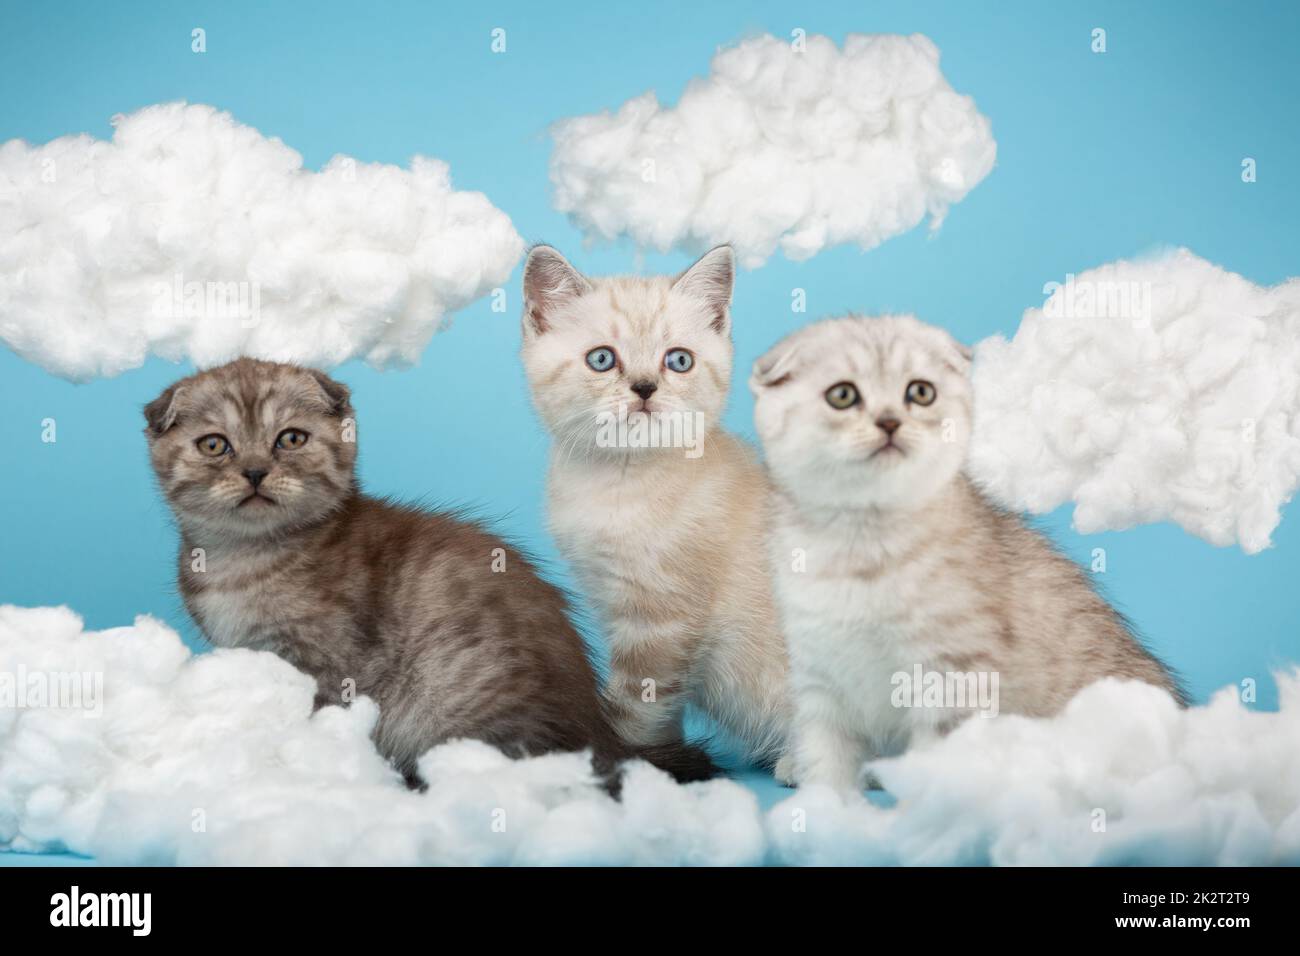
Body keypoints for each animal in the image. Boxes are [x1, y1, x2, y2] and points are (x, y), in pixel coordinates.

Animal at [146, 356, 717, 785]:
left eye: (290, 439)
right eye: (214, 444)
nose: (255, 471)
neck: (245, 558)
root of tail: (603, 735)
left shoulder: (331, 665)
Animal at [517, 244, 790, 780]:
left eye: (678, 361)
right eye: (602, 359)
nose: (644, 388)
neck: (619, 483)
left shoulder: (659, 625)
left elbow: (633, 709)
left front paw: (637, 764)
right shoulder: (611, 600)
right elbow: (661, 716)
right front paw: (667, 758)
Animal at [748, 314, 1185, 790]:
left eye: (920, 392)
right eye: (842, 395)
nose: (890, 422)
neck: (861, 545)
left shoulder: (950, 676)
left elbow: (934, 763)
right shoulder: (819, 677)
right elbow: (826, 762)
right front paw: (825, 804)